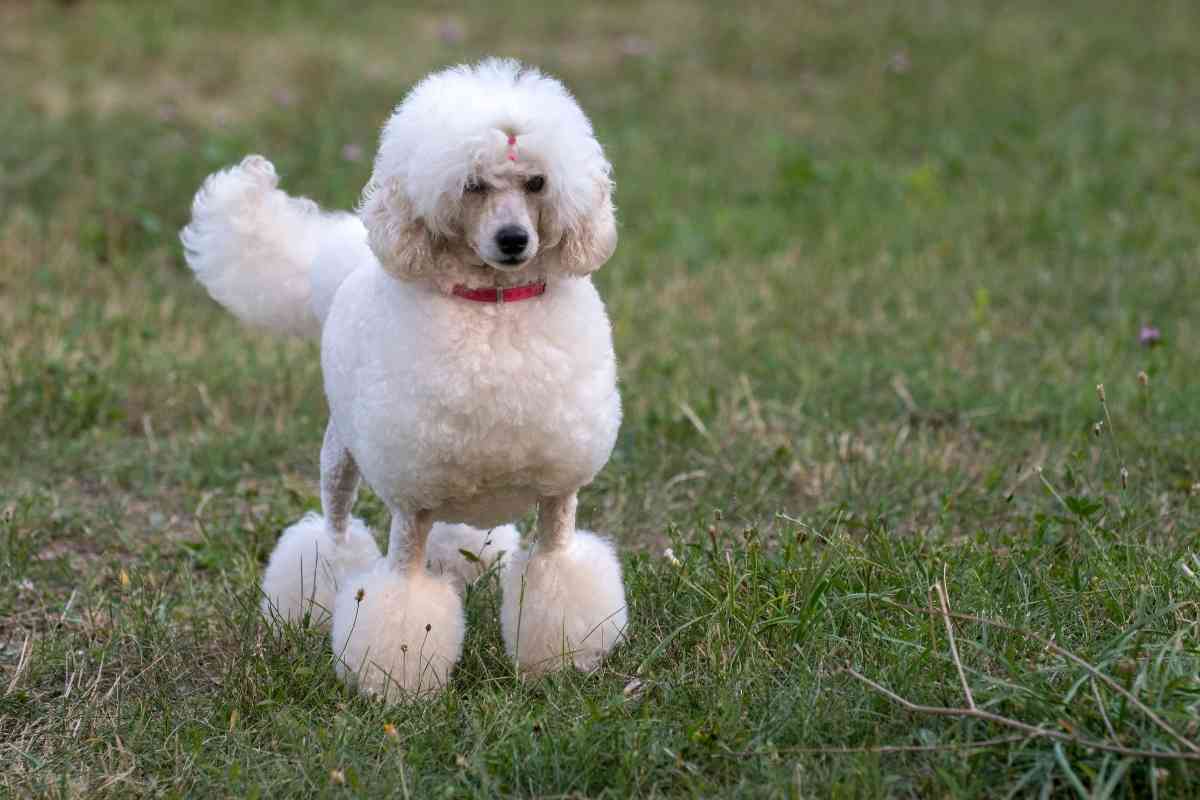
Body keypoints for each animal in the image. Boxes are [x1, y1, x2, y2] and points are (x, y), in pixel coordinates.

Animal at [180, 59, 628, 700]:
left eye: (538, 183)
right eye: (472, 186)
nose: (514, 241)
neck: (494, 306)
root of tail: (343, 266)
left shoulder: (556, 495)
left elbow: (556, 570)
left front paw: (565, 665)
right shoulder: (413, 506)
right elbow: (400, 599)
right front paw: (396, 687)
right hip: (341, 457)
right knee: (334, 534)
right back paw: (308, 602)